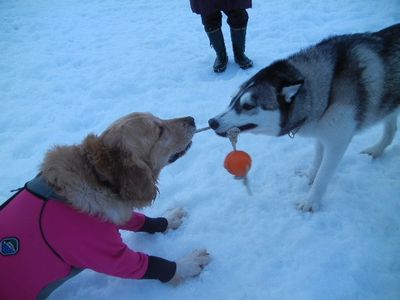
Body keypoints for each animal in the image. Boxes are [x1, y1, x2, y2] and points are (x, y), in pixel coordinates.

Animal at [0, 112, 211, 300]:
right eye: (159, 130)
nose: (192, 119)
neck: (99, 179)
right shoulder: (107, 255)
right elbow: (153, 264)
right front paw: (188, 264)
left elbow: (140, 221)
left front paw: (168, 220)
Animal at [209, 22, 400, 211]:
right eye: (232, 98)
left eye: (248, 106)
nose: (212, 122)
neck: (328, 89)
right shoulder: (322, 131)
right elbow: (317, 158)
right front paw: (309, 175)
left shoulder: (338, 141)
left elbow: (323, 174)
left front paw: (311, 202)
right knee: (390, 131)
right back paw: (376, 150)